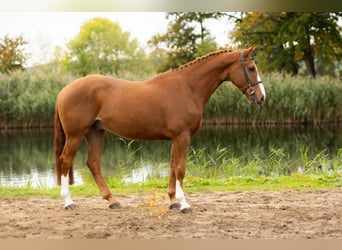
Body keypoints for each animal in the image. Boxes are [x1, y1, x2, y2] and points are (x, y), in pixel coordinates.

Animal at [54, 46, 266, 213]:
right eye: (251, 68)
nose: (262, 97)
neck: (187, 88)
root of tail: (64, 90)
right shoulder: (182, 136)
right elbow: (180, 168)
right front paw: (184, 204)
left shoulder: (176, 138)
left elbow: (172, 167)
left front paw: (173, 201)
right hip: (76, 135)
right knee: (65, 161)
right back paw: (68, 202)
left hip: (95, 132)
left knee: (94, 163)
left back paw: (112, 201)